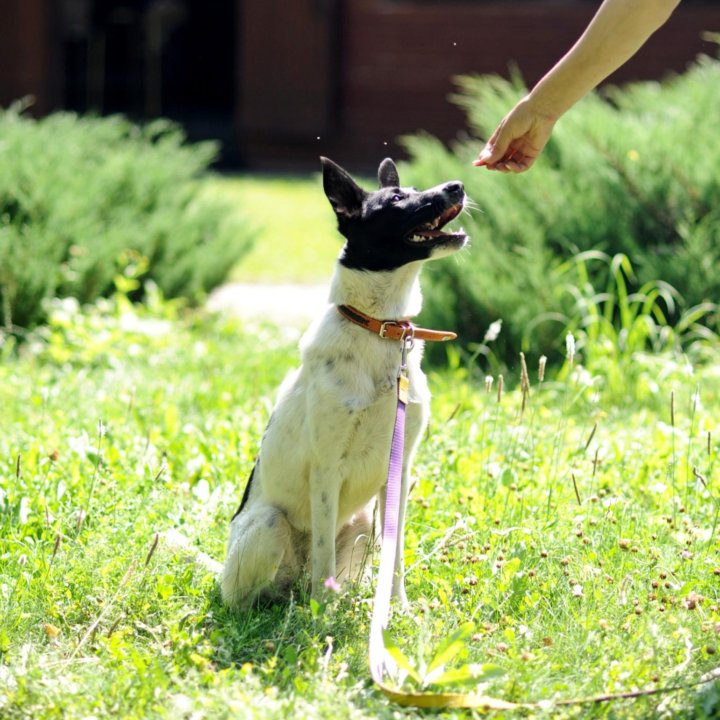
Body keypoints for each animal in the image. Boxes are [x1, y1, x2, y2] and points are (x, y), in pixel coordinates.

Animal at [219, 158, 466, 608]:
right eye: (397, 198)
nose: (457, 185)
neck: (381, 328)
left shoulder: (400, 469)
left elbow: (395, 552)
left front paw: (398, 608)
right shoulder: (326, 468)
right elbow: (324, 560)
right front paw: (324, 614)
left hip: (363, 523)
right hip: (268, 524)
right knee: (258, 591)